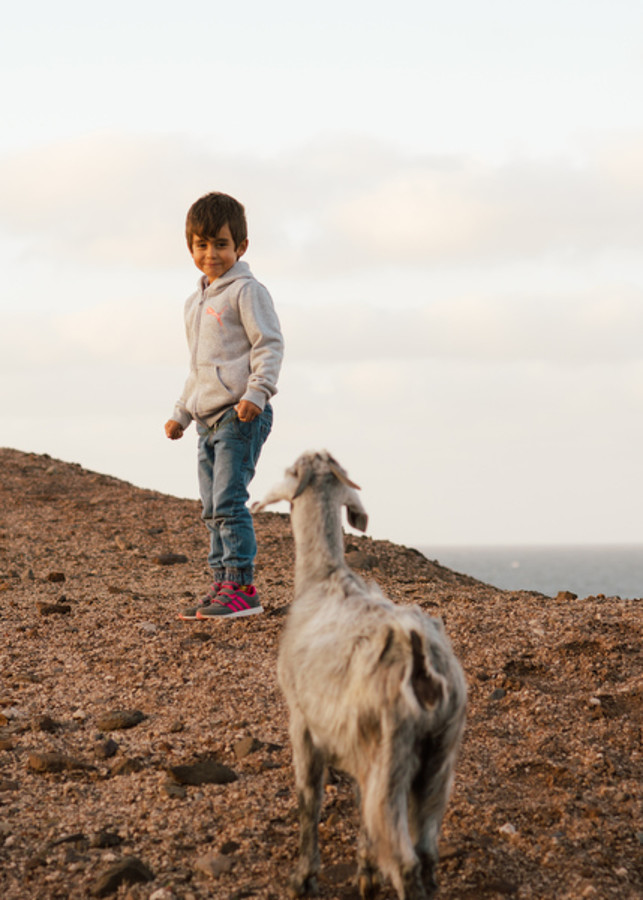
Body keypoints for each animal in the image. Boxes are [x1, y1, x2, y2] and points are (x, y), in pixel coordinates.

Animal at [252, 454, 468, 896]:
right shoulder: (355, 744)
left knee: (404, 861)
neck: (323, 579)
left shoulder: (302, 721)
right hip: (440, 754)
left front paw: (303, 876)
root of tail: (420, 657)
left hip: (392, 753)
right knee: (427, 854)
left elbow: (308, 798)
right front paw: (365, 875)